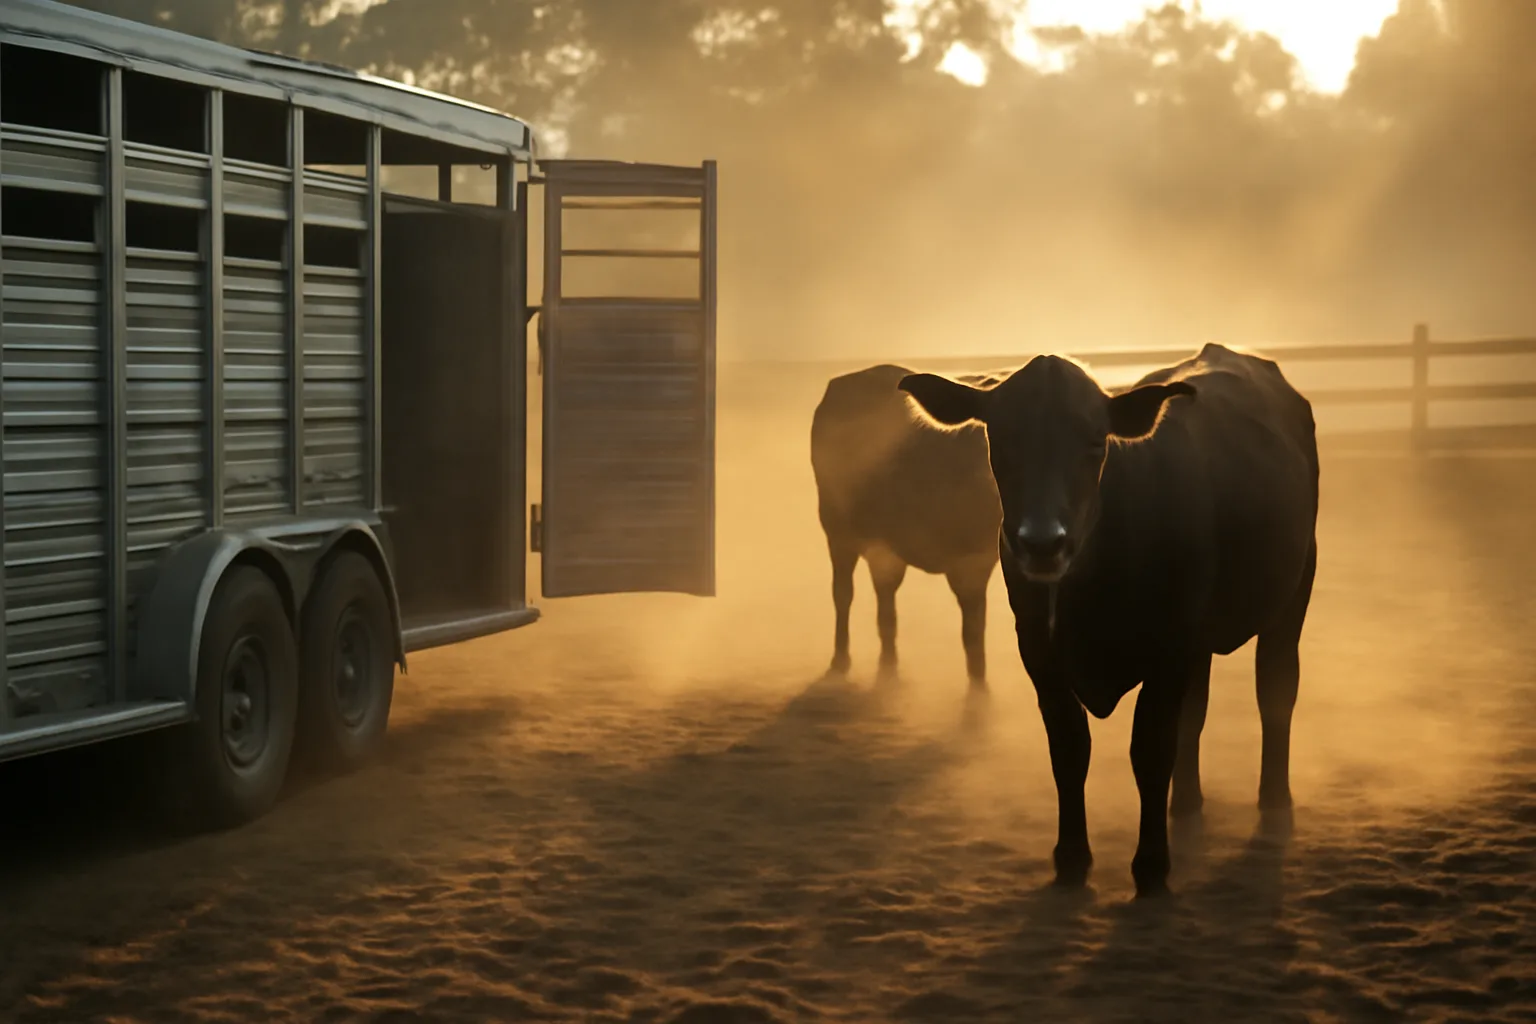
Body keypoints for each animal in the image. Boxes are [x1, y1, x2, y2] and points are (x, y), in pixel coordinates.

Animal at [810, 363, 1005, 688]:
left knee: (885, 599)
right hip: (837, 530)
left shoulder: (981, 560)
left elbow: (975, 630)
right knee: (843, 593)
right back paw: (841, 660)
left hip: (884, 548)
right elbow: (972, 633)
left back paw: (889, 665)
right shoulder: (967, 565)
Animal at [899, 343, 1319, 897]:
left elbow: (1151, 749)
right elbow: (1070, 748)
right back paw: (1186, 804)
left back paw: (1273, 802)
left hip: (1295, 589)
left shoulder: (1169, 647)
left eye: (1095, 441)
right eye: (1001, 437)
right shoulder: (1039, 650)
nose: (1042, 543)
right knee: (1197, 712)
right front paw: (1071, 855)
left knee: (1276, 691)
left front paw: (1152, 864)